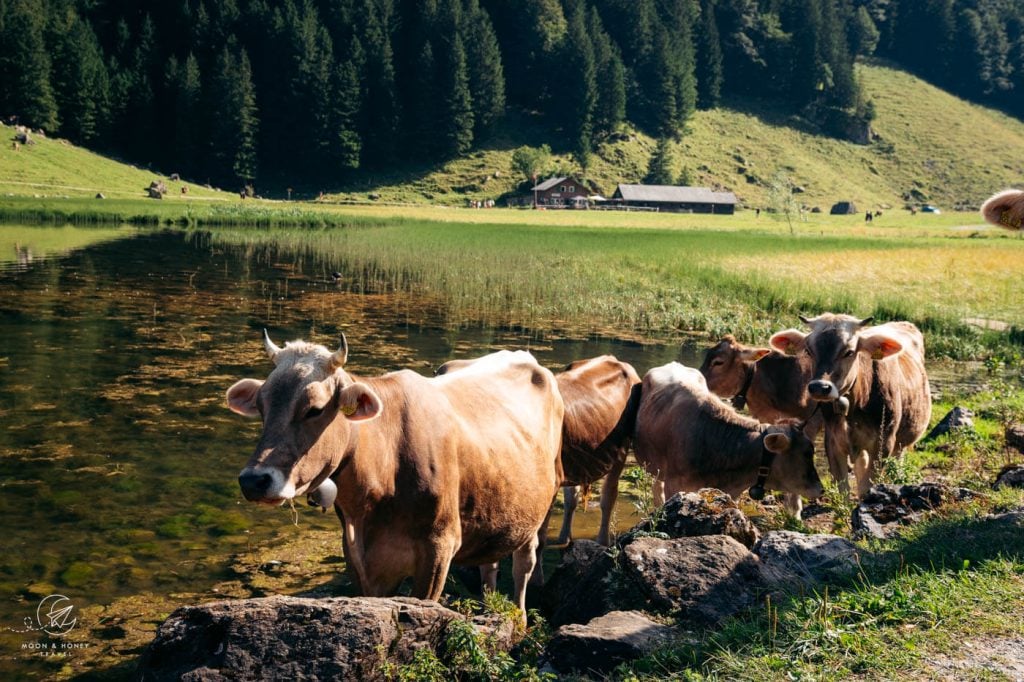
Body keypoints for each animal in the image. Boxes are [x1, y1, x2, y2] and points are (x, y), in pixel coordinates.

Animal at [225, 331, 565, 618]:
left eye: (315, 409)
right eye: (262, 406)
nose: (254, 480)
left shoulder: (438, 548)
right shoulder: (359, 557)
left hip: (541, 505)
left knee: (524, 564)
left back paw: (519, 619)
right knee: (490, 563)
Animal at [770, 313, 933, 493]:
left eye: (849, 352)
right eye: (808, 350)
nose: (820, 387)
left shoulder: (883, 444)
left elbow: (867, 486)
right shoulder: (833, 443)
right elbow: (844, 489)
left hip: (901, 443)